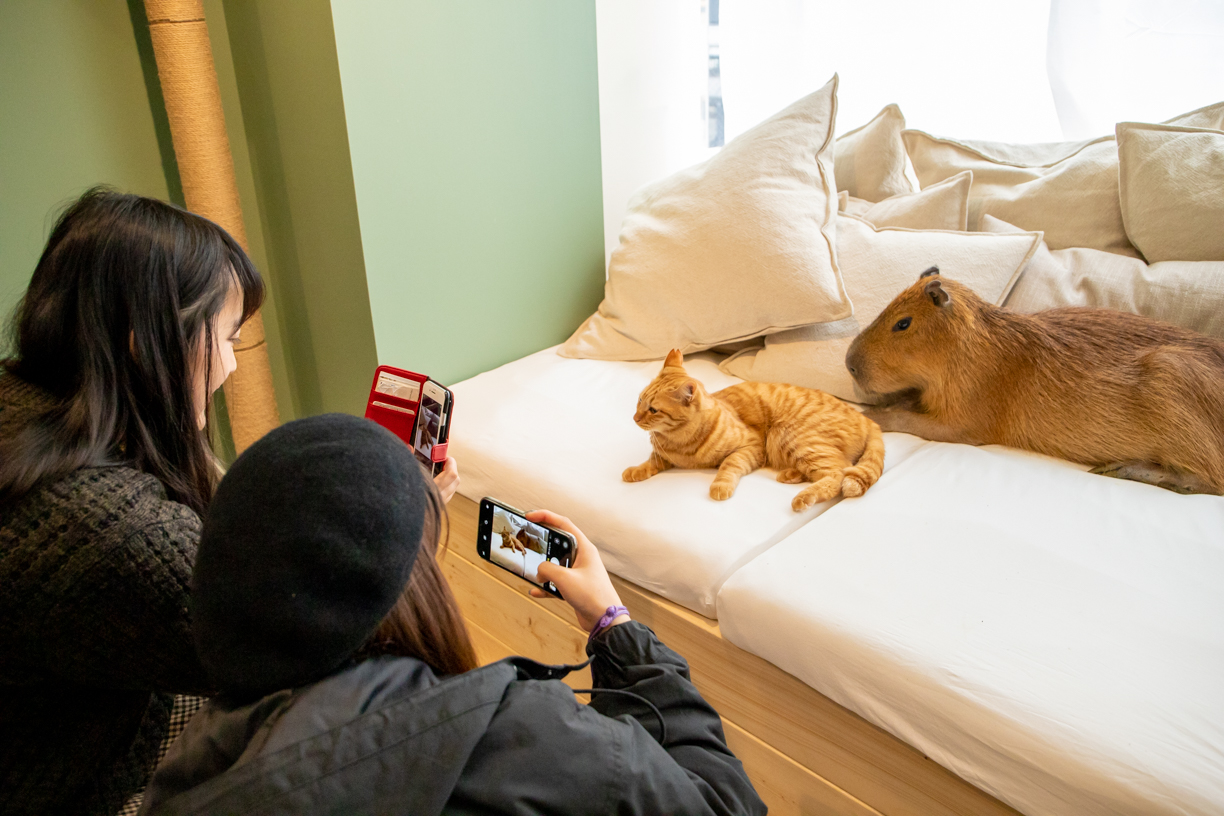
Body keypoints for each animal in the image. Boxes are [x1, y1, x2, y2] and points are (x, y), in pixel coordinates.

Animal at [626, 349, 886, 511]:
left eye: (653, 410)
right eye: (639, 400)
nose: (634, 417)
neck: (680, 440)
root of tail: (868, 419)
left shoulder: (751, 447)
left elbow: (728, 465)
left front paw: (720, 485)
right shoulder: (663, 455)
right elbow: (652, 461)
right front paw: (635, 471)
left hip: (790, 436)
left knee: (838, 472)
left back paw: (803, 497)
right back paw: (791, 475)